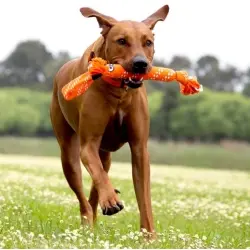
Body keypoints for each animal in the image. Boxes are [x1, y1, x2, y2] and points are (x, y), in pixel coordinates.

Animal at [49, 4, 169, 236]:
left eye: (148, 42)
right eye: (121, 41)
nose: (140, 64)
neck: (119, 91)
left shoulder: (139, 148)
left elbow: (144, 199)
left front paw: (149, 237)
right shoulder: (88, 145)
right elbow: (96, 171)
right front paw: (111, 201)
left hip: (105, 155)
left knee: (96, 184)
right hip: (68, 155)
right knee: (85, 197)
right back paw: (89, 222)